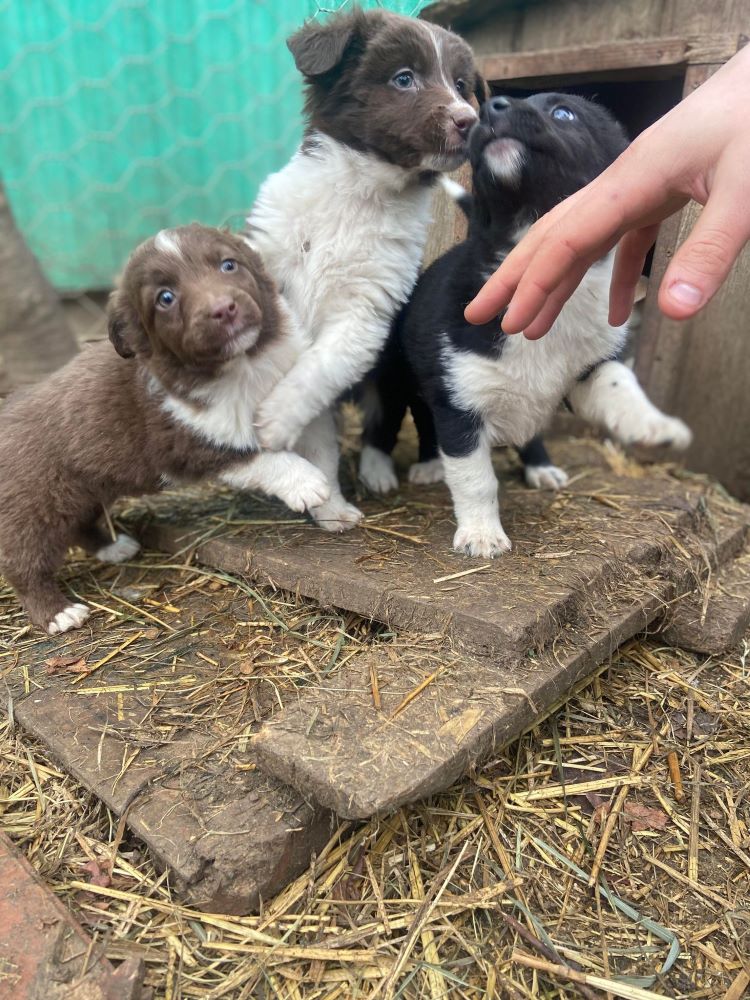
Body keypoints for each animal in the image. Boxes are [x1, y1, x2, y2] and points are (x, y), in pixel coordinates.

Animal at [0, 226, 328, 632]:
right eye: (165, 299)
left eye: (228, 265)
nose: (224, 309)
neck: (240, 366)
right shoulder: (191, 441)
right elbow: (260, 457)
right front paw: (307, 484)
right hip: (32, 508)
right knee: (23, 563)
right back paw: (57, 613)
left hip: (83, 491)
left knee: (79, 525)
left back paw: (114, 547)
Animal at [248, 5, 488, 532]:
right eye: (404, 78)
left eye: (462, 85)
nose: (471, 121)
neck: (361, 194)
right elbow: (318, 435)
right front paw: (326, 503)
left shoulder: (364, 313)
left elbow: (318, 370)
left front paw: (273, 420)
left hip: (396, 368)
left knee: (392, 418)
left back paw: (400, 468)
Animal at [362, 94, 692, 560]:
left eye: (564, 113)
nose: (488, 108)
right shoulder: (460, 402)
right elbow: (475, 477)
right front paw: (481, 534)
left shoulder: (587, 371)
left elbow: (619, 381)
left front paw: (654, 425)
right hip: (400, 377)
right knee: (399, 419)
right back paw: (394, 469)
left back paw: (540, 467)